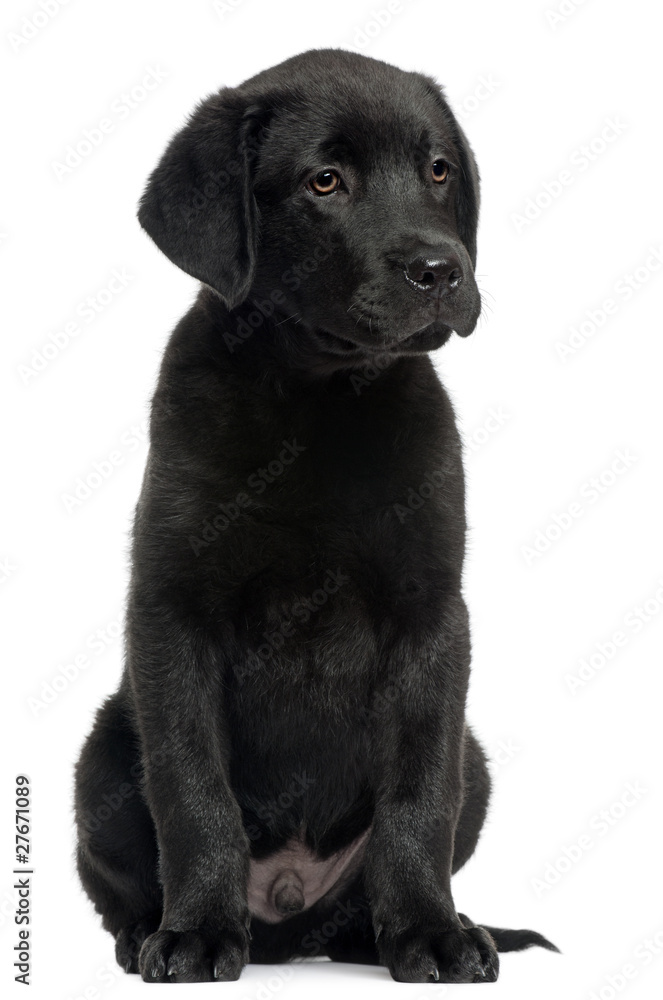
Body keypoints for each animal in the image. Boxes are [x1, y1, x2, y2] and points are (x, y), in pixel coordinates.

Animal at [74, 48, 560, 984]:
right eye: (324, 181)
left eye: (437, 170)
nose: (440, 270)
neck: (319, 398)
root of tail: (287, 929)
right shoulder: (173, 612)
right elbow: (193, 789)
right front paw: (194, 934)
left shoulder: (430, 615)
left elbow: (418, 797)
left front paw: (430, 933)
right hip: (100, 760)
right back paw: (148, 930)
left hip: (476, 763)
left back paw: (403, 928)